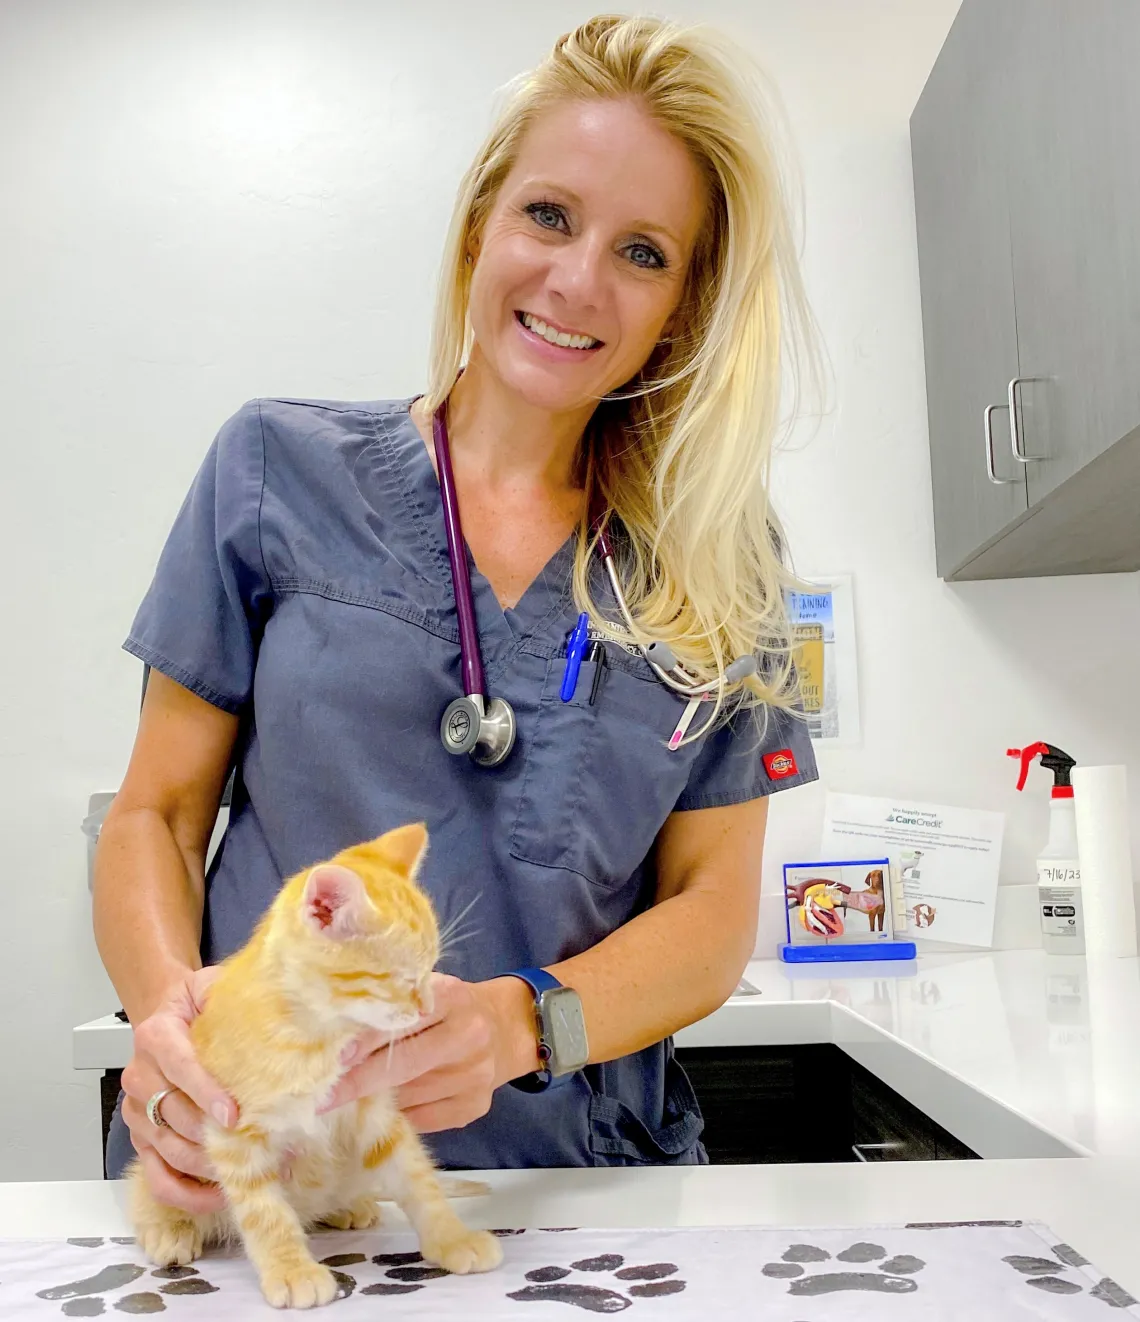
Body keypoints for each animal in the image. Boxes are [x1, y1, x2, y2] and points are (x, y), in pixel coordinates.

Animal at [126, 824, 505, 1311]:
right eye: (404, 979)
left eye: (429, 972)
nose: (426, 1008)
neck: (317, 1037)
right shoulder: (233, 1133)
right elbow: (266, 1212)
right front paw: (292, 1270)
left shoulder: (375, 1114)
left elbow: (419, 1179)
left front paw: (452, 1238)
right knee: (146, 1194)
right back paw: (169, 1229)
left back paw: (349, 1207)